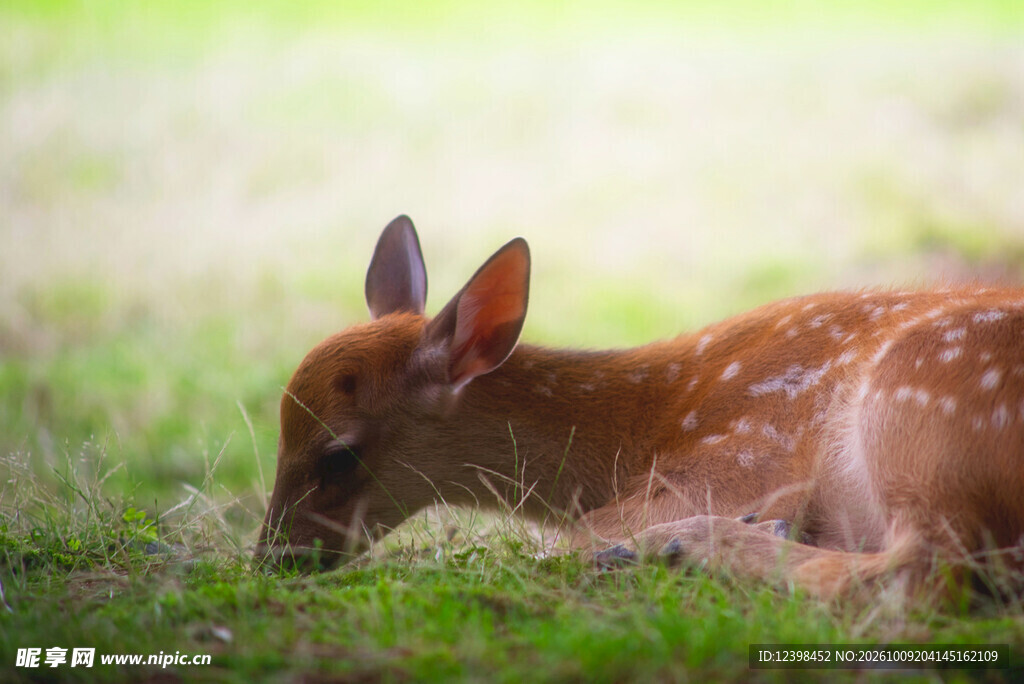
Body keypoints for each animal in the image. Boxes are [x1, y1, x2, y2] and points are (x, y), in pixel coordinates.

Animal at [257, 215, 1024, 601]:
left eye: (338, 454)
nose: (271, 558)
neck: (634, 433)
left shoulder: (749, 453)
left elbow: (569, 538)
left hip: (914, 403)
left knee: (922, 573)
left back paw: (680, 545)